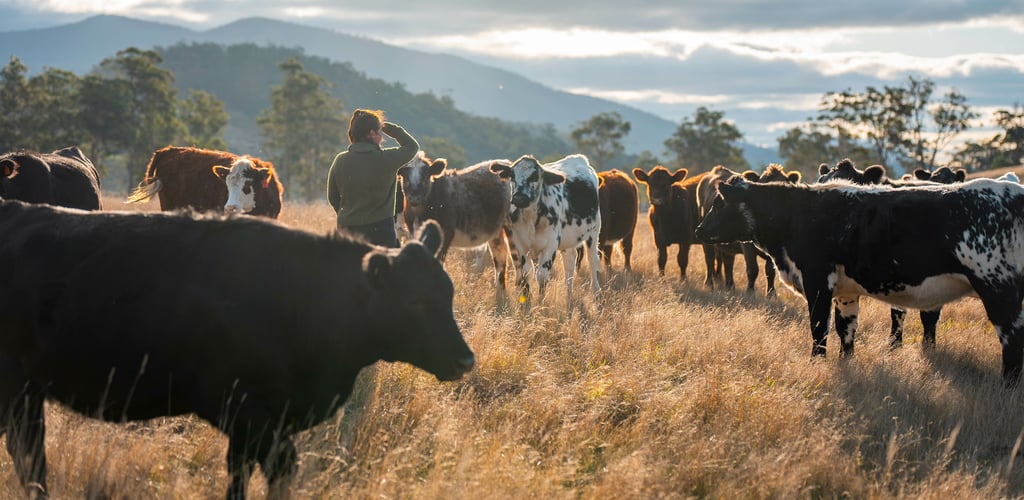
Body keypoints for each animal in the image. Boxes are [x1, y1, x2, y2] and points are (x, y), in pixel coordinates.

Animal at [0, 202, 474, 499]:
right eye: (414, 301)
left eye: (447, 292)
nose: (465, 360)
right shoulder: (240, 408)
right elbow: (281, 465)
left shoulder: (252, 426)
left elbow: (238, 475)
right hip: (18, 391)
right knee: (30, 456)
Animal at [398, 151, 512, 287]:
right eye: (405, 175)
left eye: (426, 175)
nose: (414, 198)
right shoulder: (413, 232)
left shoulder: (447, 233)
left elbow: (439, 260)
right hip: (496, 233)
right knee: (500, 260)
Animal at [490, 154, 601, 306]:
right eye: (512, 175)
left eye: (535, 176)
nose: (519, 198)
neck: (532, 218)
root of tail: (578, 158)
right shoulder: (521, 245)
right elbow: (526, 273)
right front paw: (527, 301)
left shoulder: (550, 245)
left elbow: (542, 276)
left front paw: (540, 303)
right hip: (568, 240)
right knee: (569, 263)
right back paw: (569, 295)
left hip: (593, 233)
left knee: (592, 261)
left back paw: (596, 292)